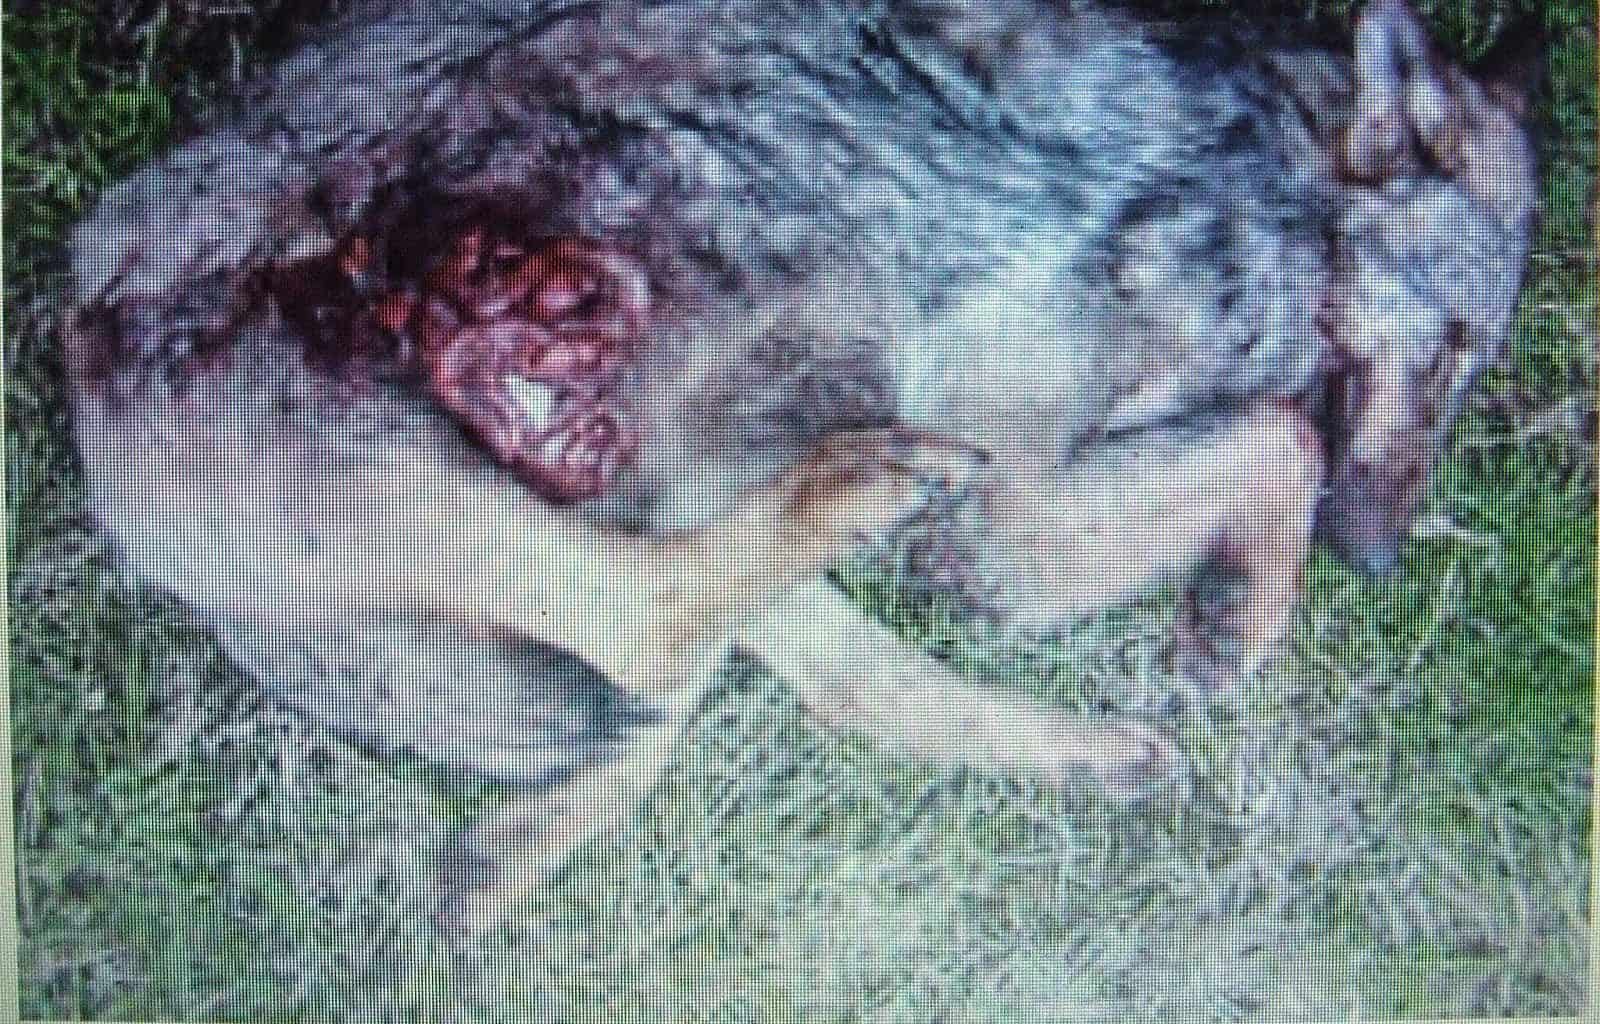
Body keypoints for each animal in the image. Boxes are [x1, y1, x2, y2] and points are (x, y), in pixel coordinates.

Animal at [61, 0, 1539, 933]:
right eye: (1459, 348)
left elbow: (1271, 436)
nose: (1377, 560)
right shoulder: (1006, 515)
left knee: (757, 679)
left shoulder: (1008, 520)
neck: (1255, 178)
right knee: (654, 633)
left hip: (637, 485)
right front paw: (1248, 617)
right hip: (432, 467)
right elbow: (1285, 437)